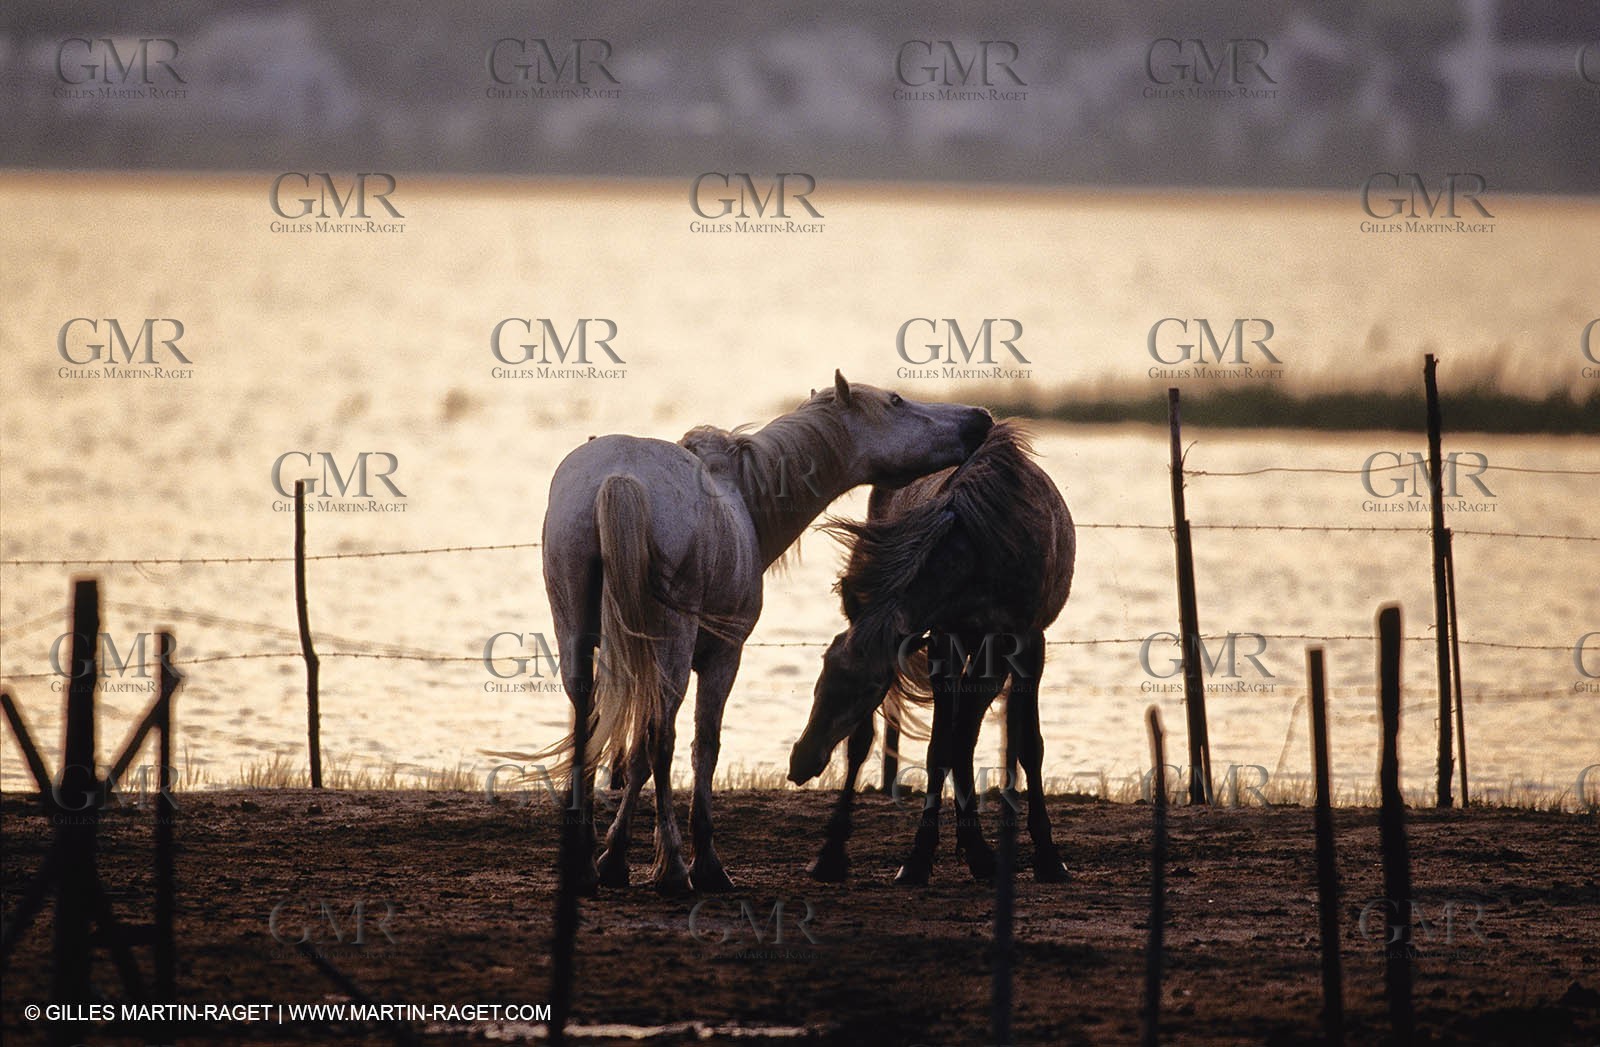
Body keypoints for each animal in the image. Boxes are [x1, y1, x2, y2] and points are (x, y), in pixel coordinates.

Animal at [538, 371, 993, 894]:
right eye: (896, 401)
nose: (981, 418)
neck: (743, 497)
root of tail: (619, 480)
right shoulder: (723, 656)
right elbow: (700, 747)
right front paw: (701, 863)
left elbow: (632, 756)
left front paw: (613, 859)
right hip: (671, 646)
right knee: (659, 739)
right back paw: (674, 869)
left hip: (575, 638)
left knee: (591, 730)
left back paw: (583, 867)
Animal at [786, 421, 1075, 885]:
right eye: (822, 674)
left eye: (869, 685)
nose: (801, 759)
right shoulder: (944, 636)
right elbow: (940, 747)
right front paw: (921, 857)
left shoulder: (1027, 640)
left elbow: (1026, 746)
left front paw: (1047, 856)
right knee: (883, 741)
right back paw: (832, 854)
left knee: (967, 731)